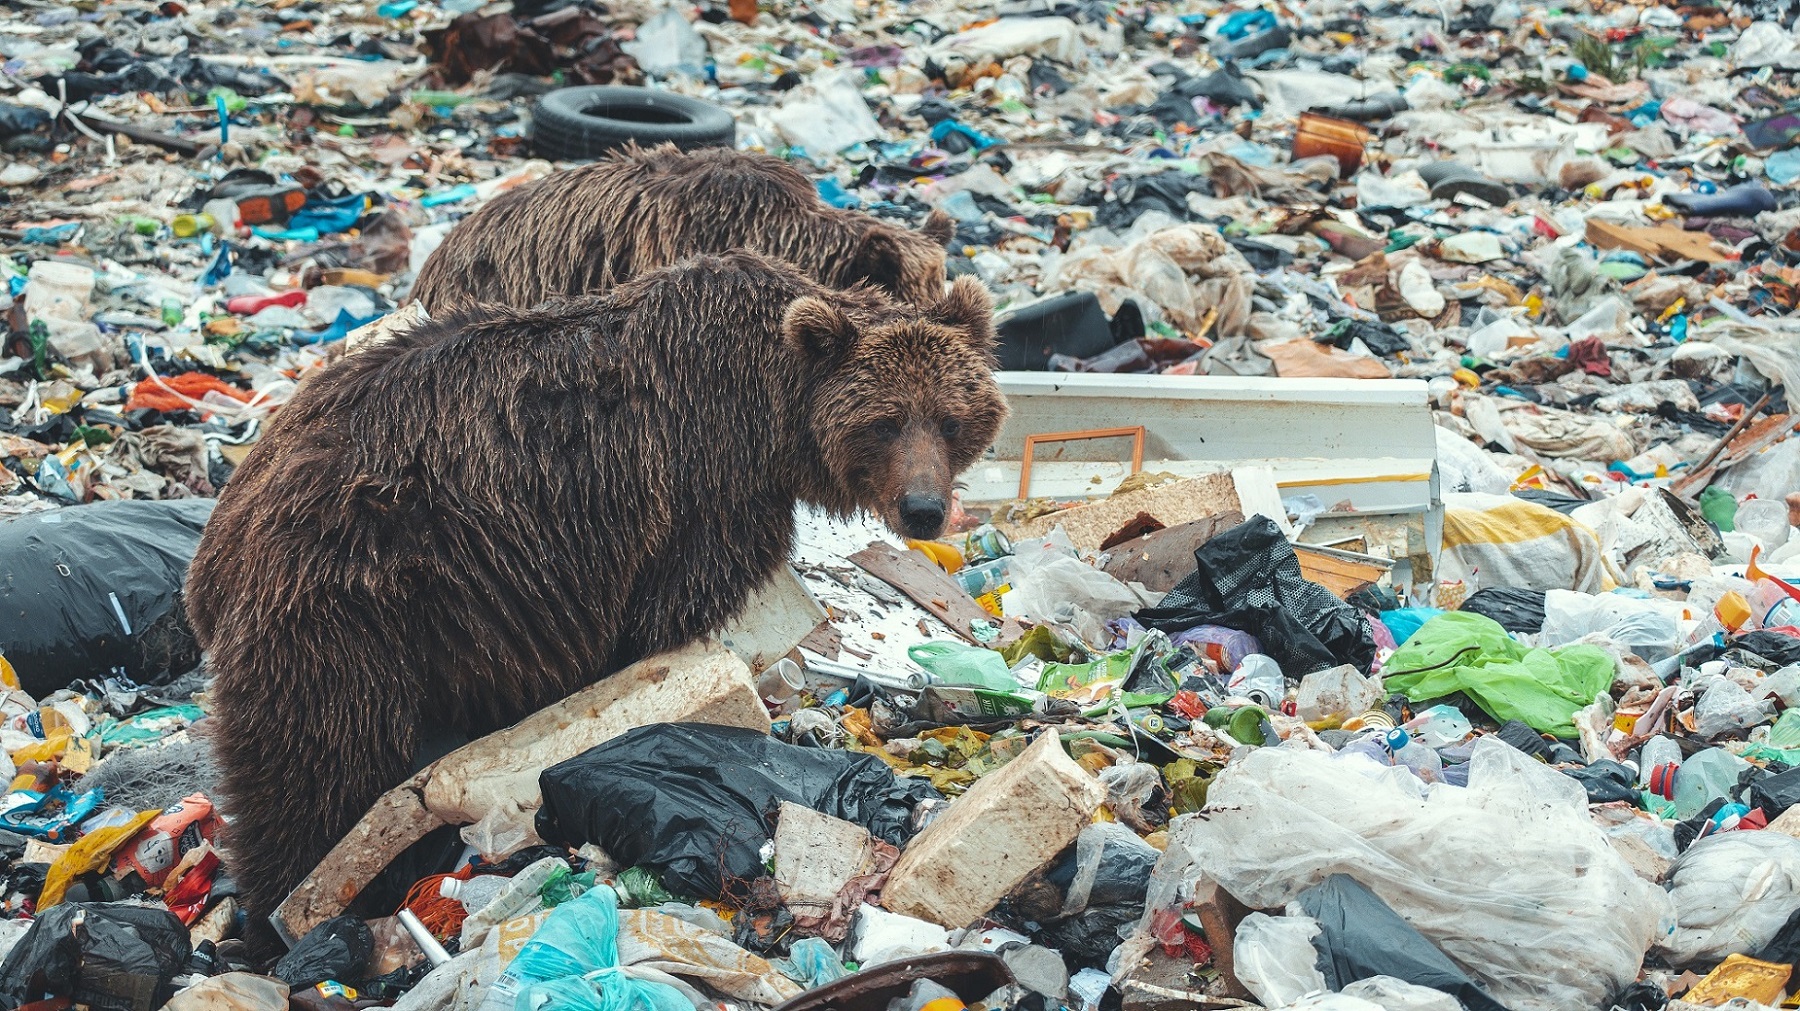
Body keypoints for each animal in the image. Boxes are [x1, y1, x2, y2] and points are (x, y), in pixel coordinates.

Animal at [184, 248, 1015, 942]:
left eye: (951, 417)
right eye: (885, 420)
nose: (923, 508)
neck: (774, 413)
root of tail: (221, 536)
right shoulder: (695, 490)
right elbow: (663, 617)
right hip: (347, 600)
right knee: (317, 760)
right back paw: (292, 908)